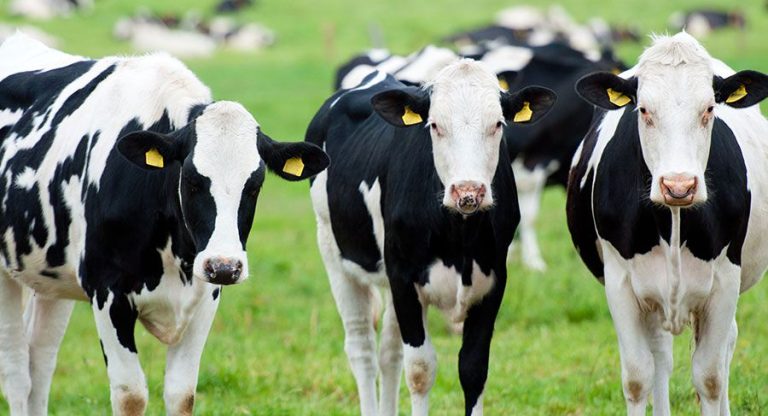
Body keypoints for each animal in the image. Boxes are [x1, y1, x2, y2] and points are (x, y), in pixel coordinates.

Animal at [0, 34, 328, 415]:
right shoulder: (107, 292)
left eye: (255, 184)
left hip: (52, 277)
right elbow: (131, 394)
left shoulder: (206, 295)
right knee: (18, 375)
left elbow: (181, 393)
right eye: (192, 180)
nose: (225, 266)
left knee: (39, 363)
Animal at [307, 61, 556, 415]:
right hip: (334, 254)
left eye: (497, 124)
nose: (468, 191)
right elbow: (420, 370)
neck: (459, 239)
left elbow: (473, 369)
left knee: (388, 353)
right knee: (362, 348)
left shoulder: (493, 283)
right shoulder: (404, 279)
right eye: (435, 126)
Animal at [568, 32, 768, 414]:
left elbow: (710, 377)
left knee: (724, 351)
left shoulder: (725, 281)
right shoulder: (620, 283)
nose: (679, 185)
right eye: (644, 110)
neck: (673, 222)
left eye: (709, 109)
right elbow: (637, 378)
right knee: (660, 356)